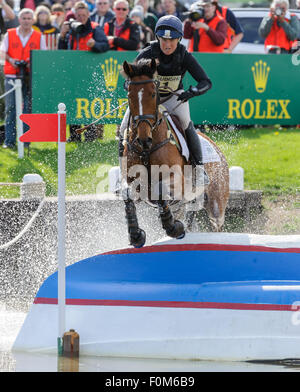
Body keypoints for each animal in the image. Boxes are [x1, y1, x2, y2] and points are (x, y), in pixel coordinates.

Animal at [120, 58, 229, 248]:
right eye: (129, 96)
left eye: (153, 94)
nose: (143, 140)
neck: (147, 150)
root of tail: (218, 150)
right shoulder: (133, 182)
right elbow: (128, 195)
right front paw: (136, 235)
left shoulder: (178, 181)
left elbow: (161, 188)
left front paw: (173, 228)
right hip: (187, 203)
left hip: (216, 203)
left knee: (217, 225)